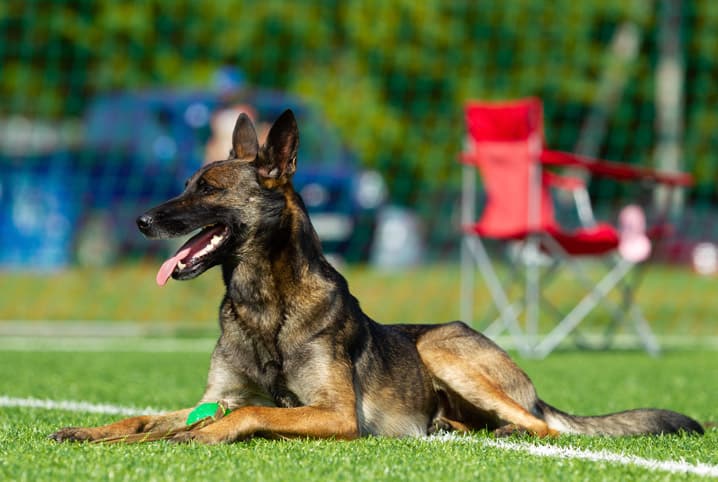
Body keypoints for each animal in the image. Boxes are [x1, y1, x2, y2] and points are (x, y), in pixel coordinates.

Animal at [49, 109, 704, 444]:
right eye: (186, 184)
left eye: (207, 189)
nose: (140, 220)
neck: (265, 304)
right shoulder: (212, 397)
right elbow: (146, 418)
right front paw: (93, 429)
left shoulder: (334, 414)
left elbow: (252, 414)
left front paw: (200, 436)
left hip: (443, 347)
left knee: (543, 427)